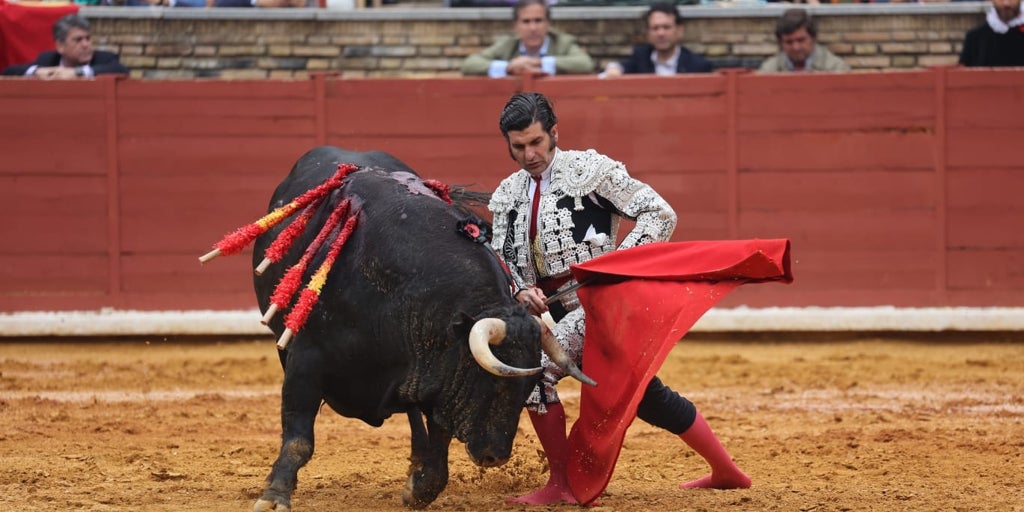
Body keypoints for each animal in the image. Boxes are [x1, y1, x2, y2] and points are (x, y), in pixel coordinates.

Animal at [246, 146, 593, 509]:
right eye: (492, 382)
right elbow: (299, 437)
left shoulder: (437, 373)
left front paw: (420, 489)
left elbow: (438, 445)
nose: (495, 456)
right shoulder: (305, 362)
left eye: (527, 389)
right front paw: (274, 496)